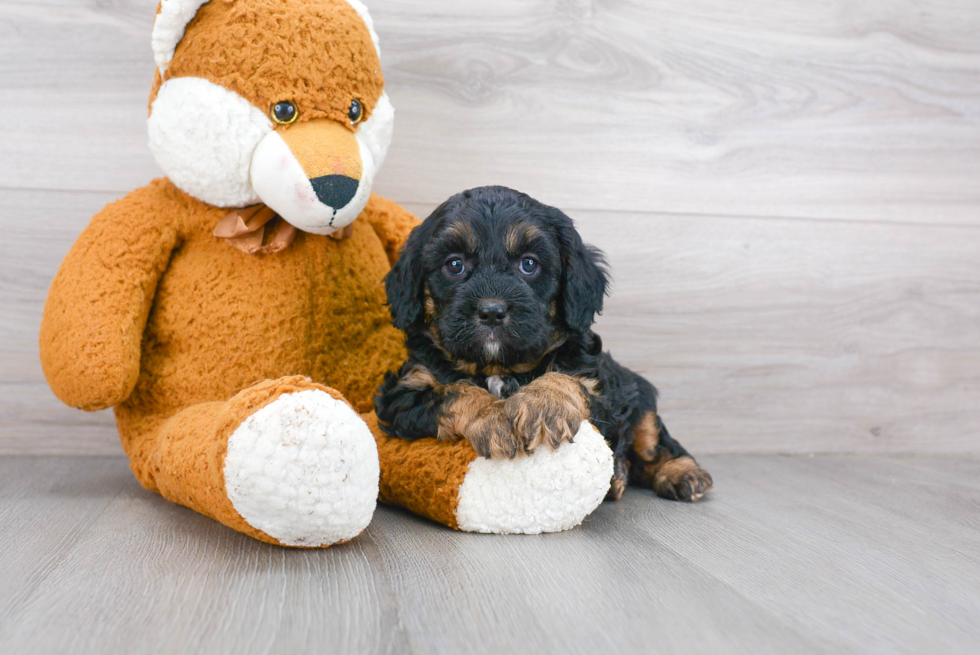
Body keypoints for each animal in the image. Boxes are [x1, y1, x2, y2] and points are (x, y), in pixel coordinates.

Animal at [376, 186, 712, 502]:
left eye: (529, 264)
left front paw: (544, 403)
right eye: (454, 264)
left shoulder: (600, 388)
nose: (492, 311)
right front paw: (492, 416)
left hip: (639, 396)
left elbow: (565, 378)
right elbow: (453, 391)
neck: (498, 367)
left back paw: (682, 472)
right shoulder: (403, 393)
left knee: (654, 442)